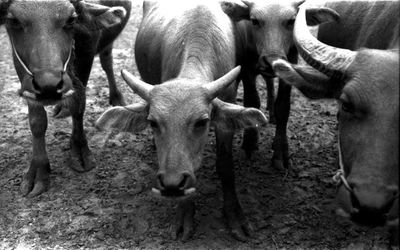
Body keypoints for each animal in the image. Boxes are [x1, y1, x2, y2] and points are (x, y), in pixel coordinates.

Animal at [0, 0, 131, 197]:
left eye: (71, 20)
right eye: (13, 20)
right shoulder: (24, 72)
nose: (49, 85)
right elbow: (37, 121)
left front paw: (79, 150)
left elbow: (79, 104)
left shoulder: (87, 50)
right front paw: (38, 170)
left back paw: (116, 97)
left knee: (107, 61)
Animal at [95, 0, 268, 242]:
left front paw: (235, 217)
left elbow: (226, 166)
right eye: (153, 122)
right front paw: (184, 216)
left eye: (202, 122)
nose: (171, 184)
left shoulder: (226, 114)